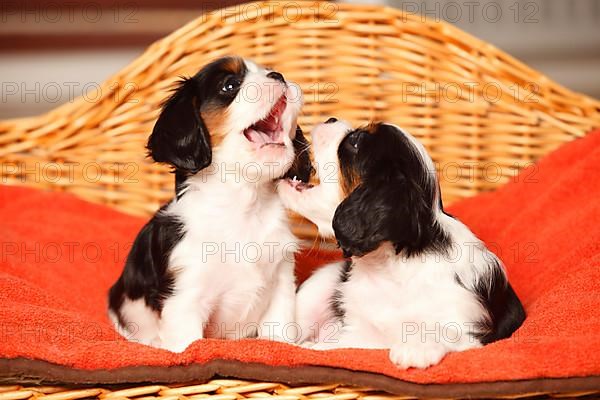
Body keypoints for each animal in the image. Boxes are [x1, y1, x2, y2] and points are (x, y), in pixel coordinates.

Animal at [109, 57, 314, 354]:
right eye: (230, 85)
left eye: (268, 71)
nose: (278, 75)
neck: (243, 204)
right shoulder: (184, 299)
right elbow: (190, 344)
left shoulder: (281, 286)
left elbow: (278, 336)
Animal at [278, 118, 524, 368]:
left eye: (355, 142)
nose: (330, 119)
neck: (389, 267)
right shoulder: (355, 331)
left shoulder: (470, 328)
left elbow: (446, 333)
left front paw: (417, 347)